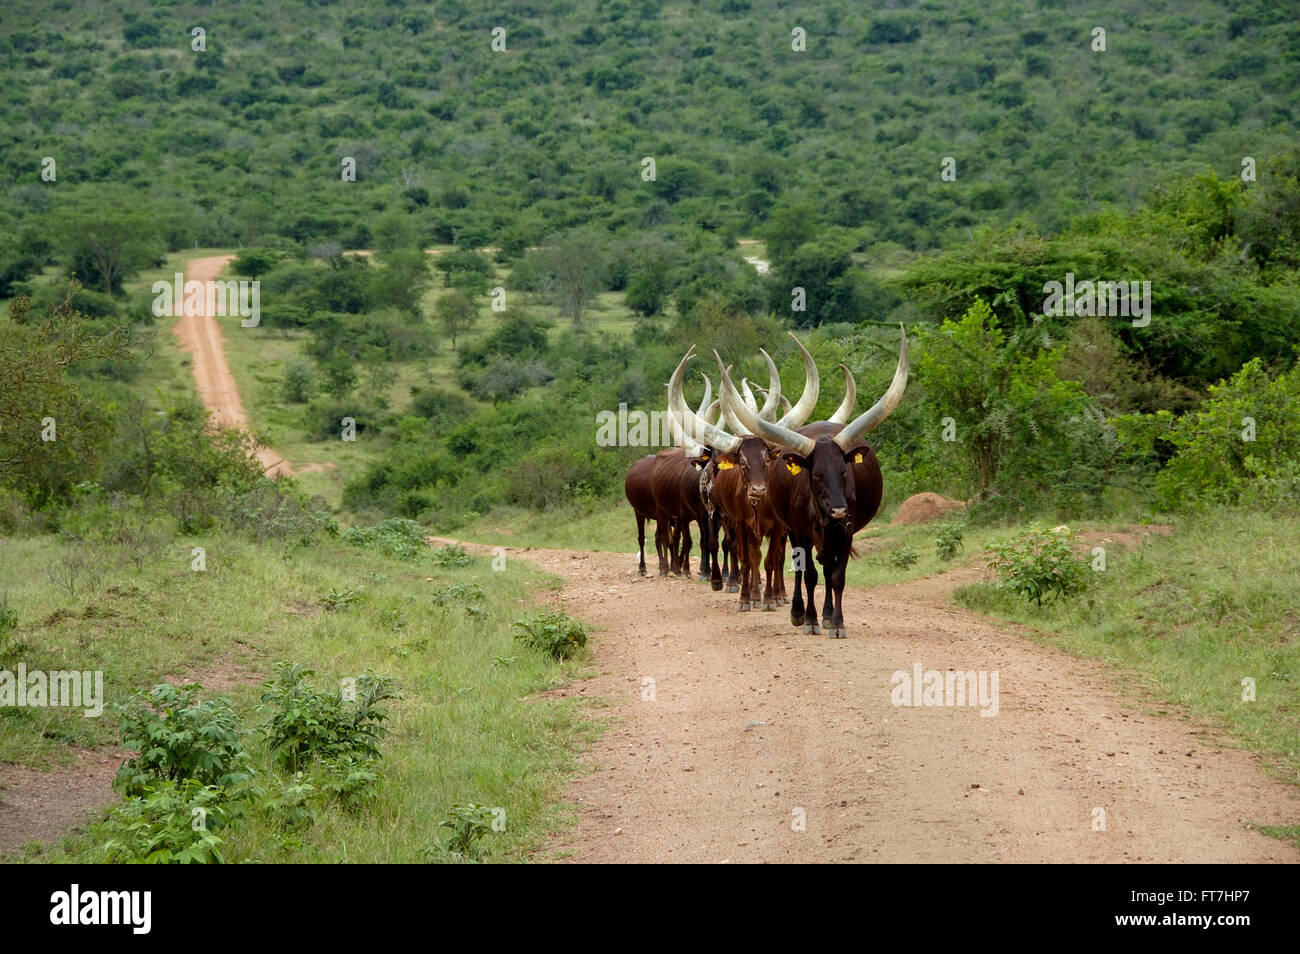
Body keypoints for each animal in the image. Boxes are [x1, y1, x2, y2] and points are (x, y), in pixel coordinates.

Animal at [717, 327, 908, 638]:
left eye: (844, 472)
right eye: (816, 474)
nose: (839, 511)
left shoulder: (845, 533)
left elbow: (837, 576)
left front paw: (837, 622)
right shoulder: (801, 533)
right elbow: (808, 575)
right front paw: (808, 620)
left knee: (826, 568)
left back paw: (827, 613)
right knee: (798, 568)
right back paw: (798, 611)